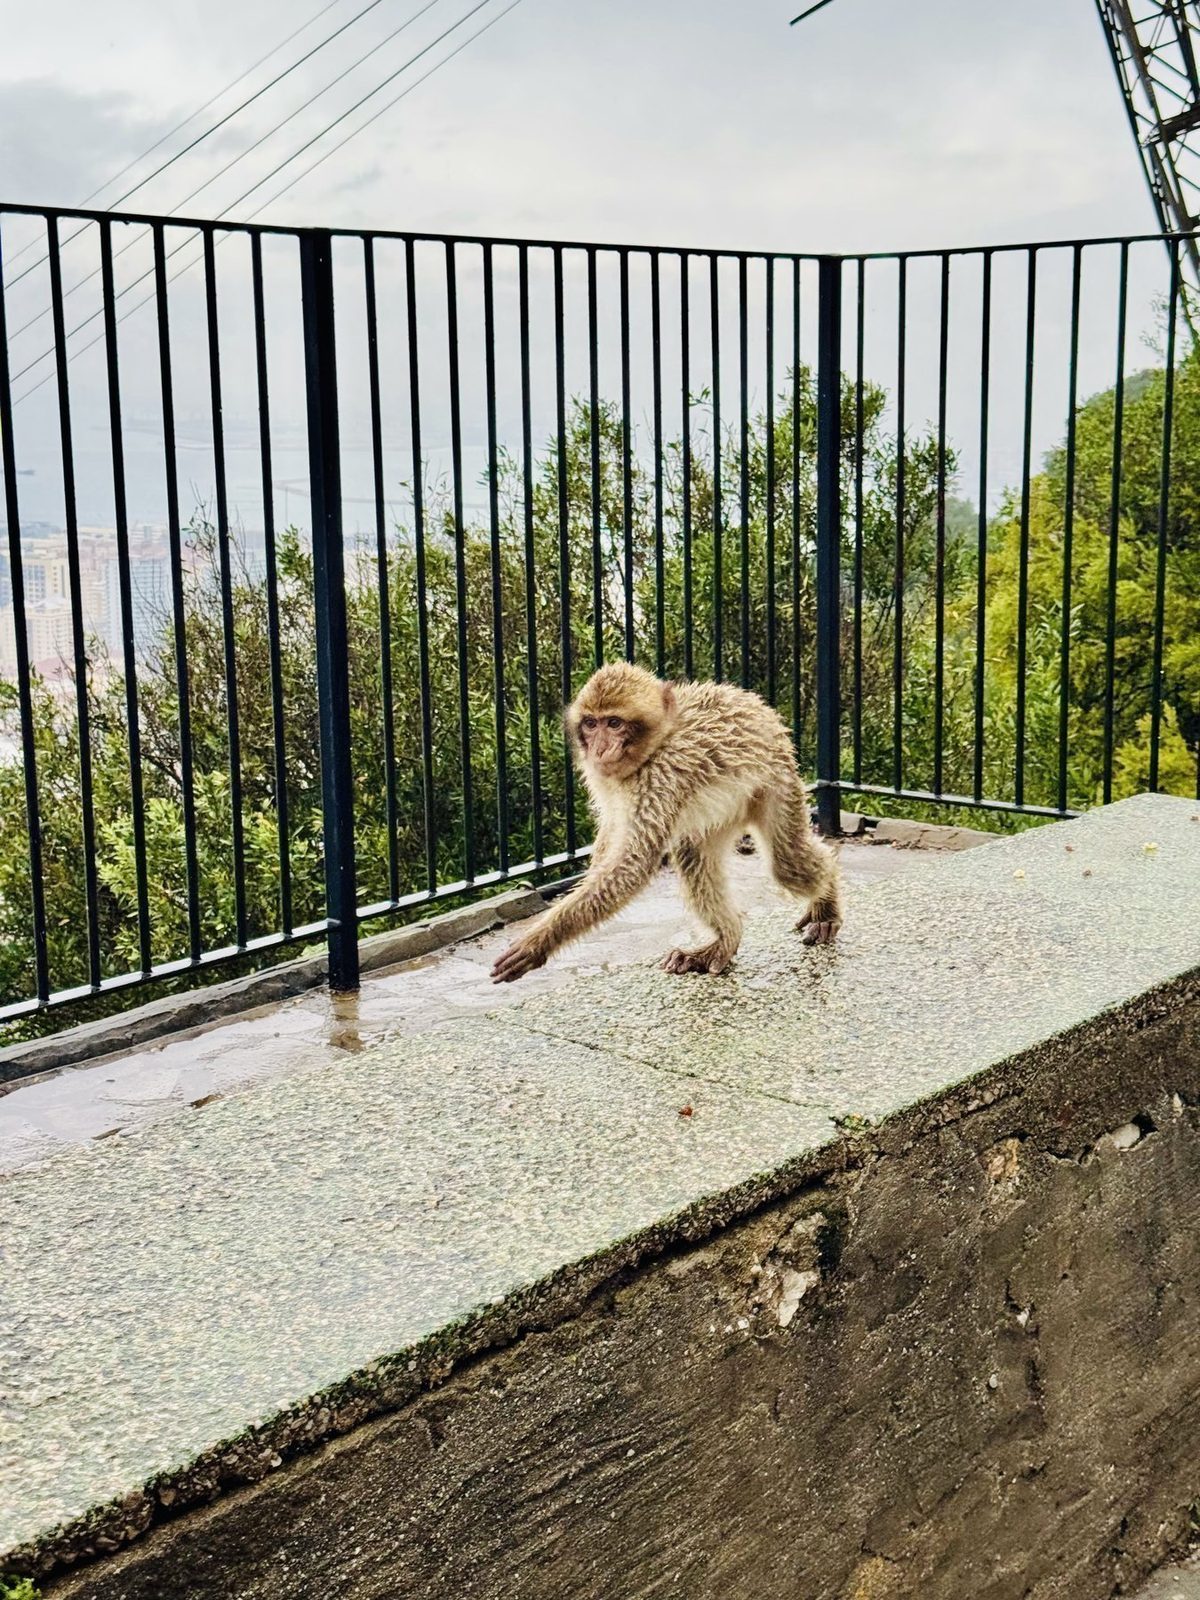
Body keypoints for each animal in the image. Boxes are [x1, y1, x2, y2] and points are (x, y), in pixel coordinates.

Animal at [490, 661, 842, 984]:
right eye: (591, 724)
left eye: (614, 723)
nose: (600, 748)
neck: (654, 745)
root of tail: (762, 709)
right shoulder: (605, 779)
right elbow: (613, 831)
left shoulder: (663, 775)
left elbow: (632, 864)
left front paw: (539, 942)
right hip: (725, 812)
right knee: (694, 854)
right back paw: (725, 941)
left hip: (777, 778)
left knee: (788, 865)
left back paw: (826, 899)